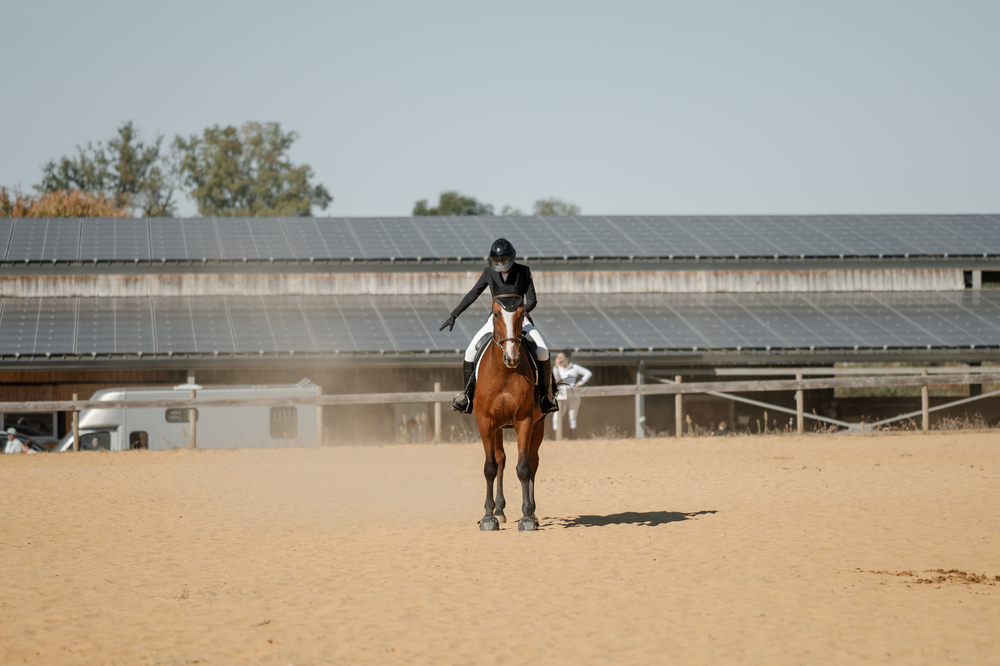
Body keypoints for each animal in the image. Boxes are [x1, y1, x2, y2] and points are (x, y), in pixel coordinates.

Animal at [474, 293, 546, 532]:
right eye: (496, 314)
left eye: (522, 314)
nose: (511, 358)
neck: (504, 372)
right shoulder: (485, 422)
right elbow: (490, 467)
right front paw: (488, 517)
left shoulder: (524, 420)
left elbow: (523, 467)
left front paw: (527, 517)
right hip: (497, 428)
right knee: (500, 460)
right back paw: (499, 510)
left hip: (538, 425)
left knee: (532, 461)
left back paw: (533, 512)